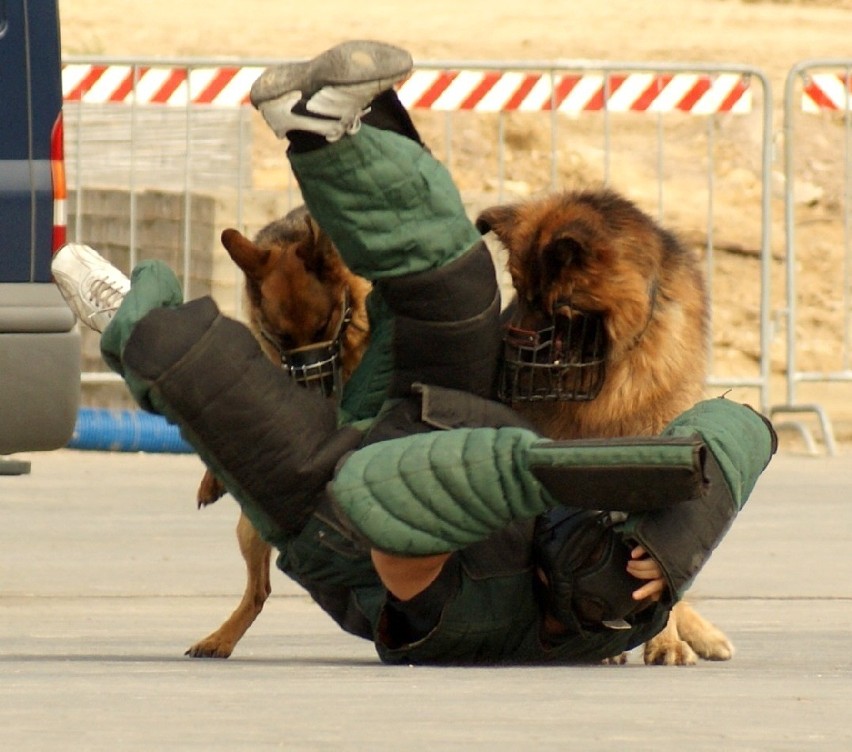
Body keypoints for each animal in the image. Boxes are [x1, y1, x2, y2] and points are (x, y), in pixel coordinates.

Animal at [186, 207, 370, 656]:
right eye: (282, 336)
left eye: (323, 326)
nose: (316, 390)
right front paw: (212, 478)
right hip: (250, 528)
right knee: (259, 590)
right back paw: (221, 638)